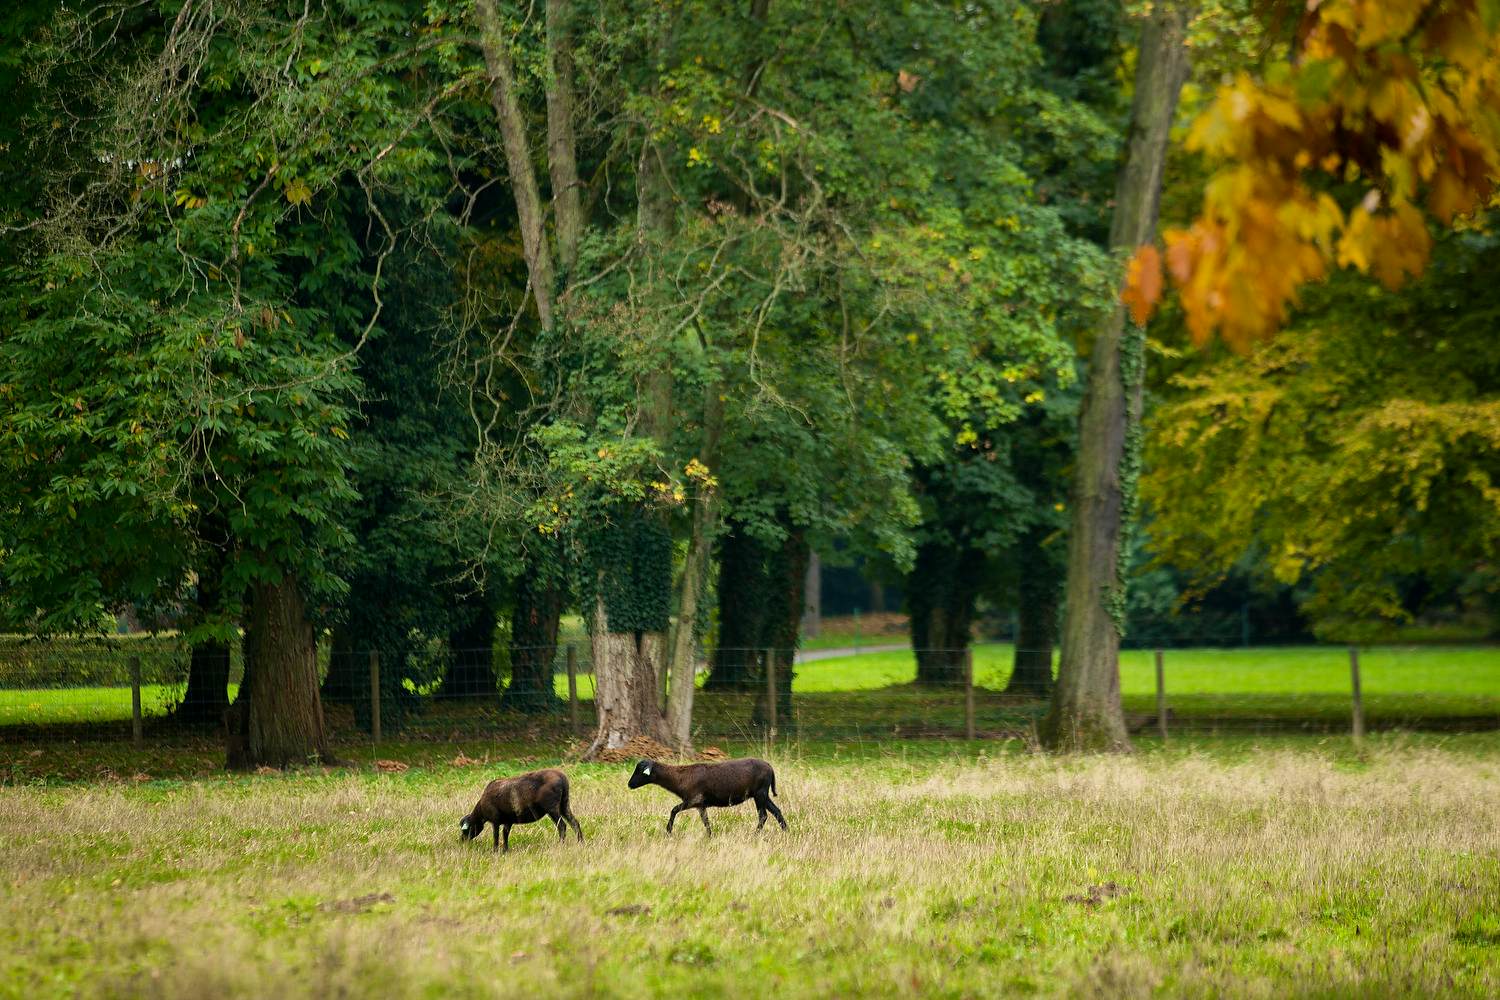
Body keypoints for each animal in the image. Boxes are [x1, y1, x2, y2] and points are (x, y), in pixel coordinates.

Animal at [627, 757, 787, 835]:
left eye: (640, 770)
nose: (629, 785)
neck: (679, 778)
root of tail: (770, 767)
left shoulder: (693, 799)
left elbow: (673, 810)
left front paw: (668, 831)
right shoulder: (700, 805)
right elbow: (706, 822)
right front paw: (710, 836)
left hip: (760, 792)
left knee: (763, 816)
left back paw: (755, 835)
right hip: (762, 794)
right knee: (777, 812)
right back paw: (786, 832)